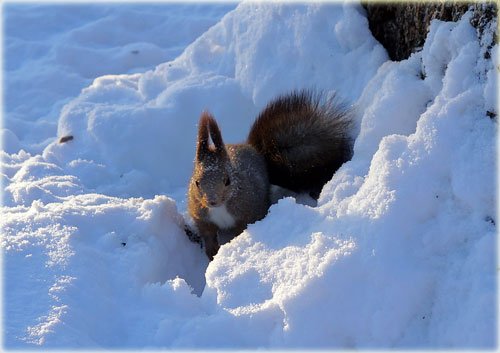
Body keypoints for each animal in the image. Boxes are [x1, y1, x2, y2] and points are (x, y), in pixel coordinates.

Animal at [186, 88, 354, 258]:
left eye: (227, 181)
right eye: (196, 182)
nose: (212, 201)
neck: (221, 208)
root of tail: (255, 151)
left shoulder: (249, 213)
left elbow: (241, 229)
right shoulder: (201, 216)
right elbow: (208, 234)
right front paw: (212, 253)